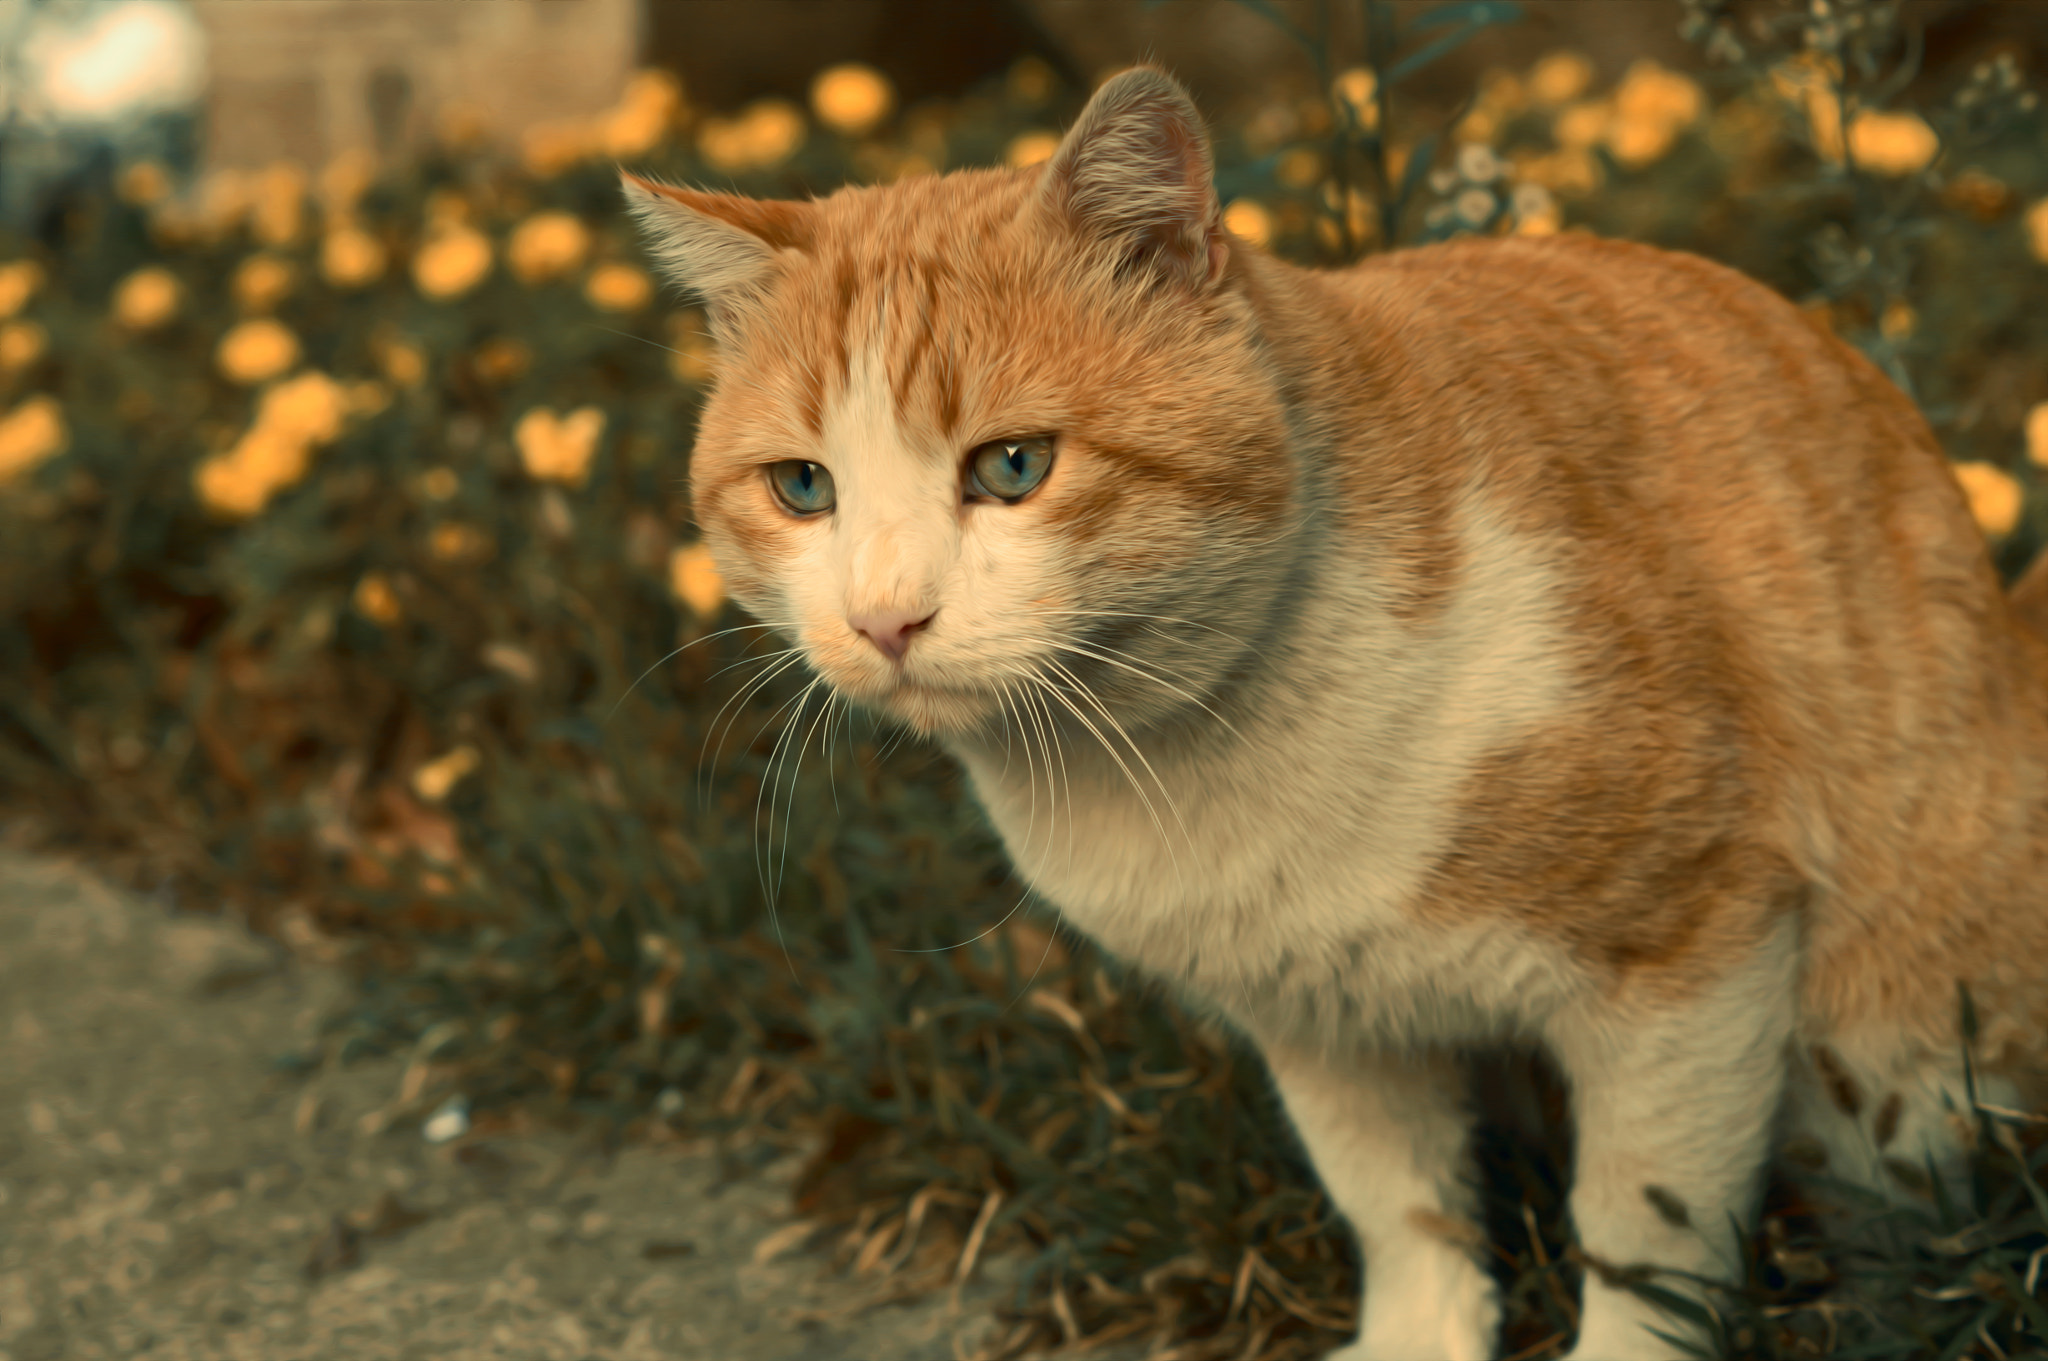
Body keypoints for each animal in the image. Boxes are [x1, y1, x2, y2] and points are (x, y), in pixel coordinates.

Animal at [618, 66, 2048, 1358]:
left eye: (1013, 466)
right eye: (804, 487)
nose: (883, 619)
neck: (1183, 754)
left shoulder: (1693, 960)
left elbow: (1647, 1233)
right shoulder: (1320, 1013)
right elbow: (1400, 1210)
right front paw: (1421, 1330)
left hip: (1888, 1061)